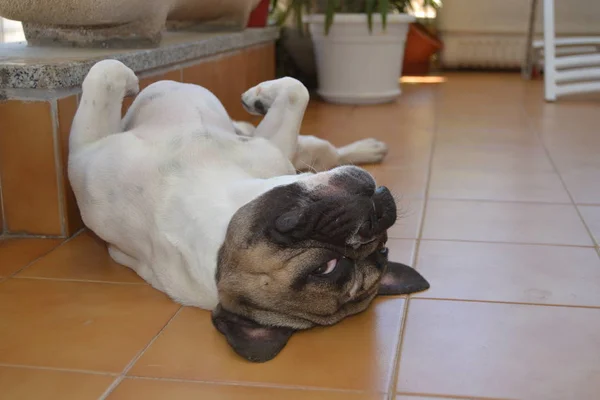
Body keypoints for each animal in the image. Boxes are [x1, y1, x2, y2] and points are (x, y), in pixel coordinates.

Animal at [69, 60, 426, 362]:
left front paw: (128, 80)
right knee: (320, 147)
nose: (376, 221)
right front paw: (259, 98)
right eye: (384, 249)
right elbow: (297, 88)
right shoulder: (274, 147)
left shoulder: (84, 153)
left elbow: (105, 72)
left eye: (324, 269)